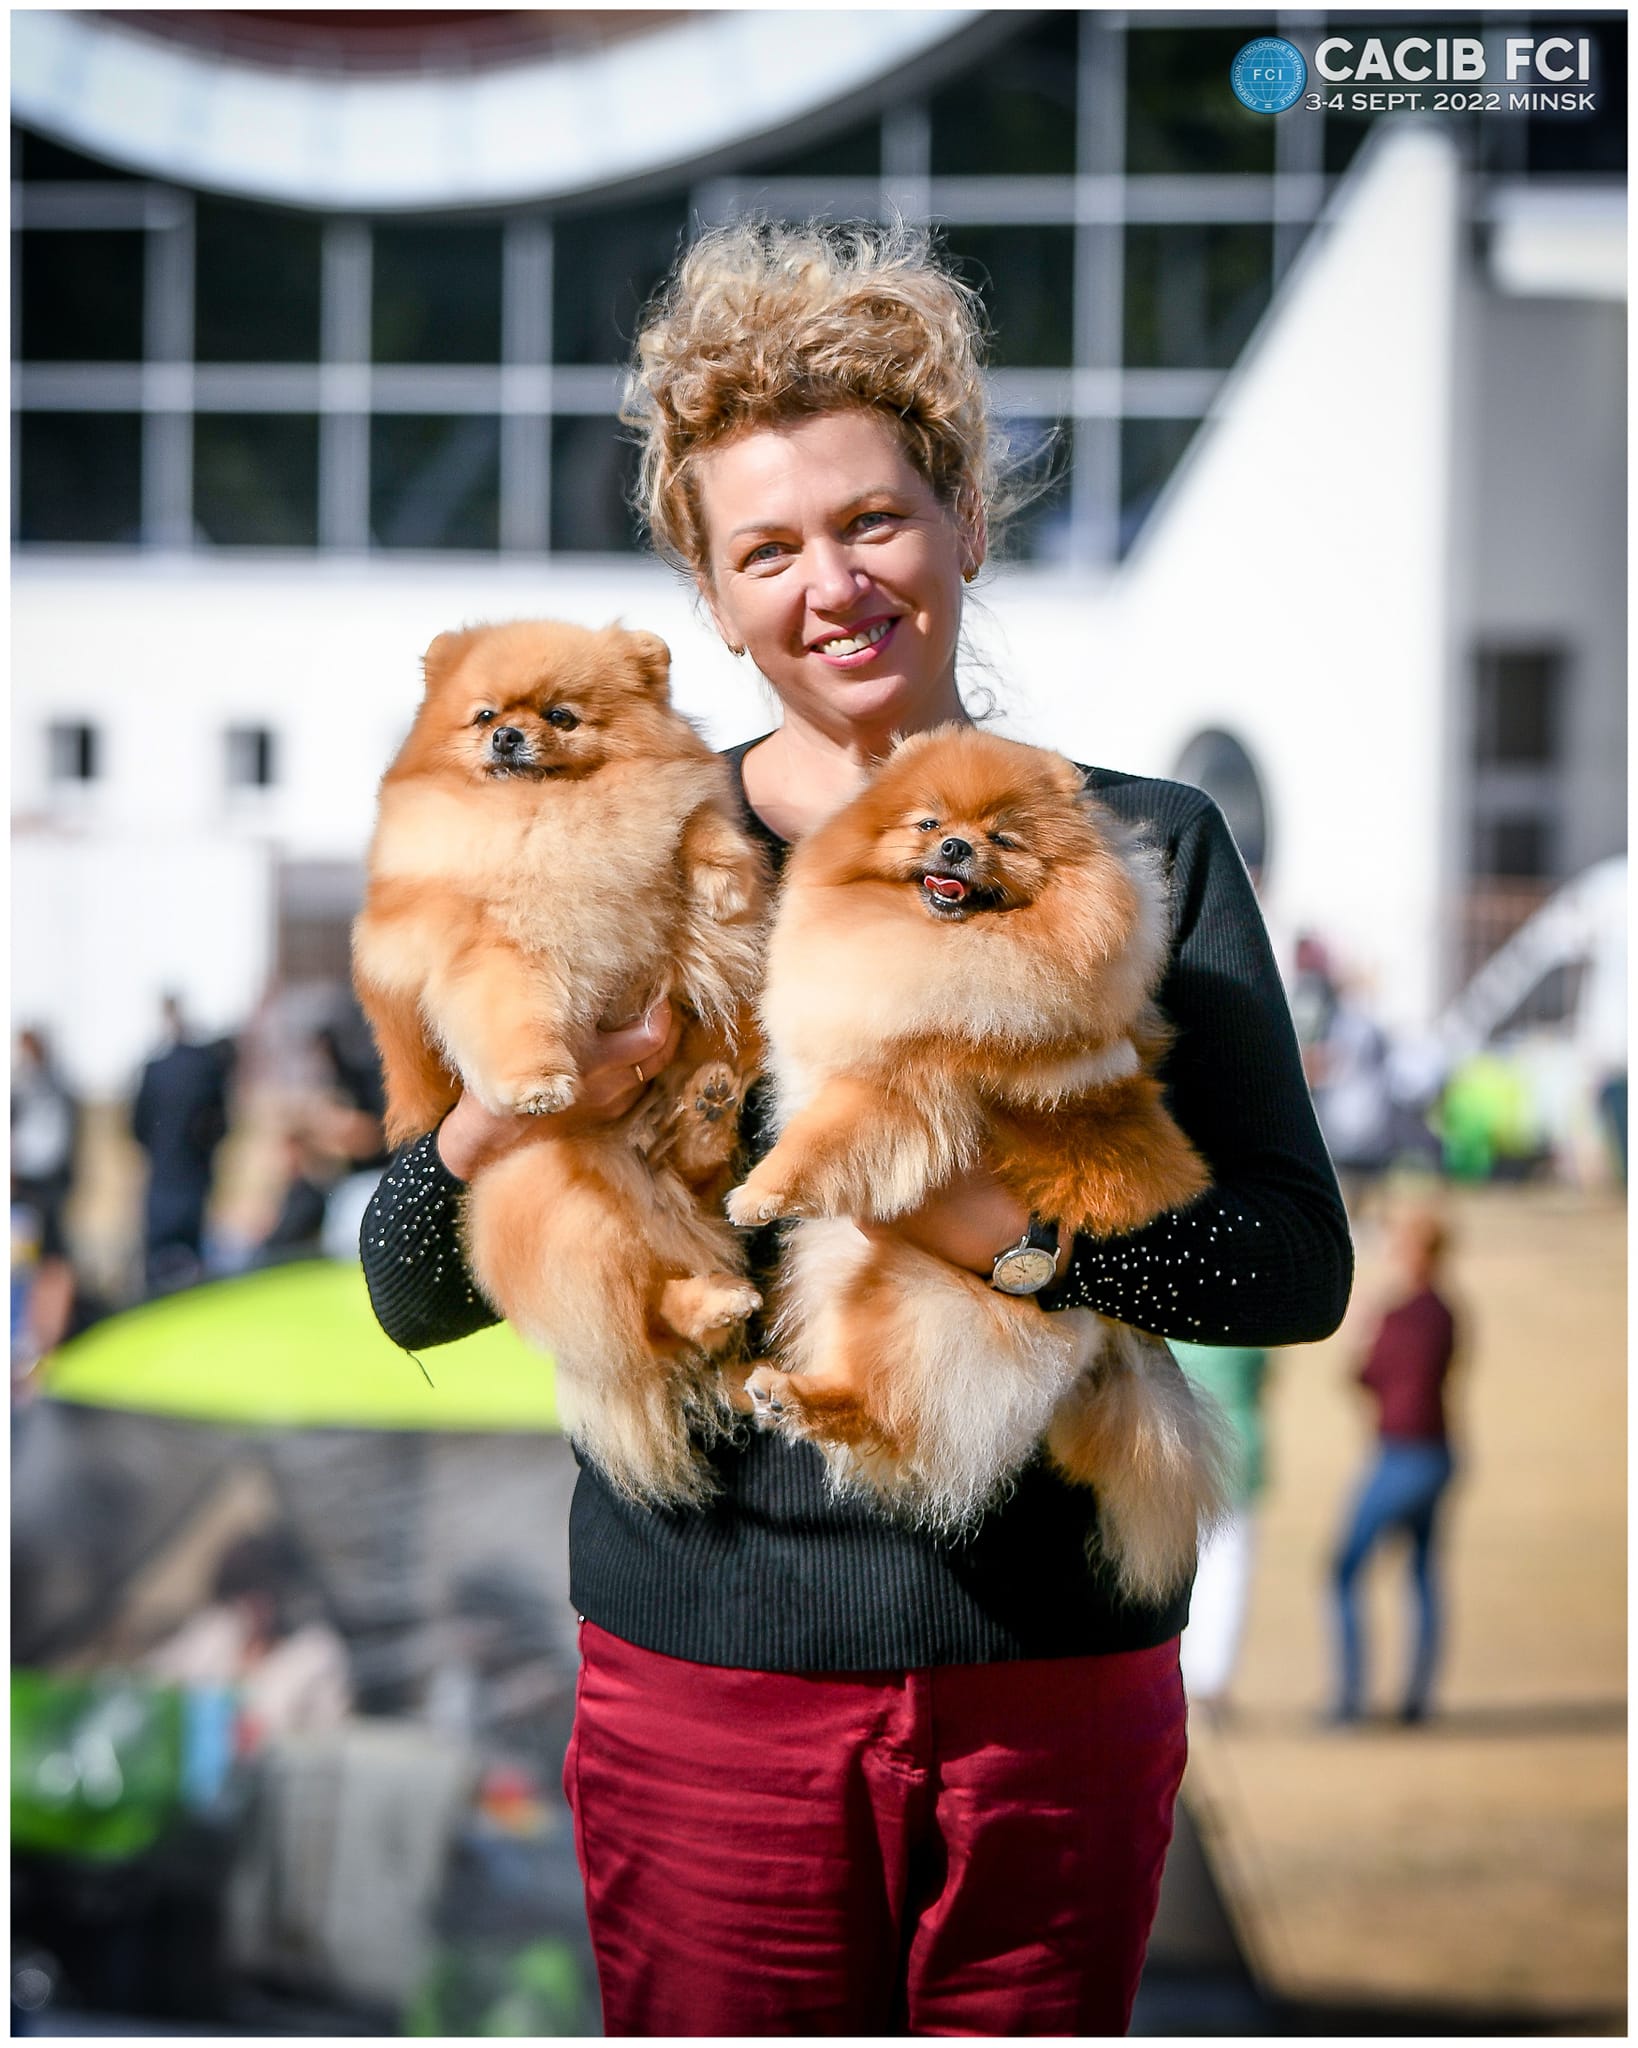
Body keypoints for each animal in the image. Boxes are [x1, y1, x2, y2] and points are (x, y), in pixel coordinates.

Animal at [353, 618, 769, 1504]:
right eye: (484, 716)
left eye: (561, 716)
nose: (510, 735)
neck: (548, 812)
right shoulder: (492, 950)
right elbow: (513, 1012)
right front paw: (537, 1080)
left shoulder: (680, 807)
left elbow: (698, 827)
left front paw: (722, 880)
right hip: (560, 1207)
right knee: (639, 1318)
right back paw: (711, 1302)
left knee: (695, 1185)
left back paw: (709, 1118)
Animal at [724, 725, 1227, 1600]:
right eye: (928, 823)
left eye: (1006, 839)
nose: (958, 846)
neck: (936, 945)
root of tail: (1110, 1338)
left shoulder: (899, 1085)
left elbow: (820, 1138)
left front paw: (761, 1191)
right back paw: (787, 1394)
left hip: (916, 1298)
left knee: (902, 1415)